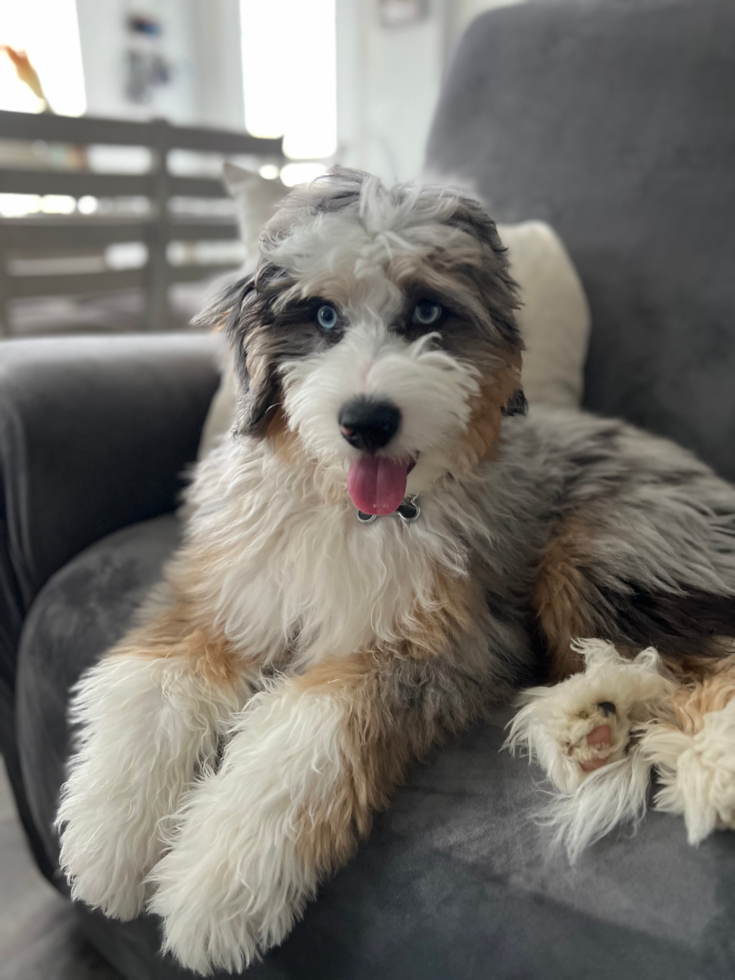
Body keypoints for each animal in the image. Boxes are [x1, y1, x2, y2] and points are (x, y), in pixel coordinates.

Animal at [56, 168, 735, 972]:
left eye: (427, 311)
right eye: (322, 316)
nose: (368, 421)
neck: (347, 510)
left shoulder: (441, 645)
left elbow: (308, 727)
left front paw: (218, 881)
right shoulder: (220, 594)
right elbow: (153, 685)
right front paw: (110, 839)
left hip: (605, 550)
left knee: (687, 666)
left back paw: (678, 749)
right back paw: (587, 726)